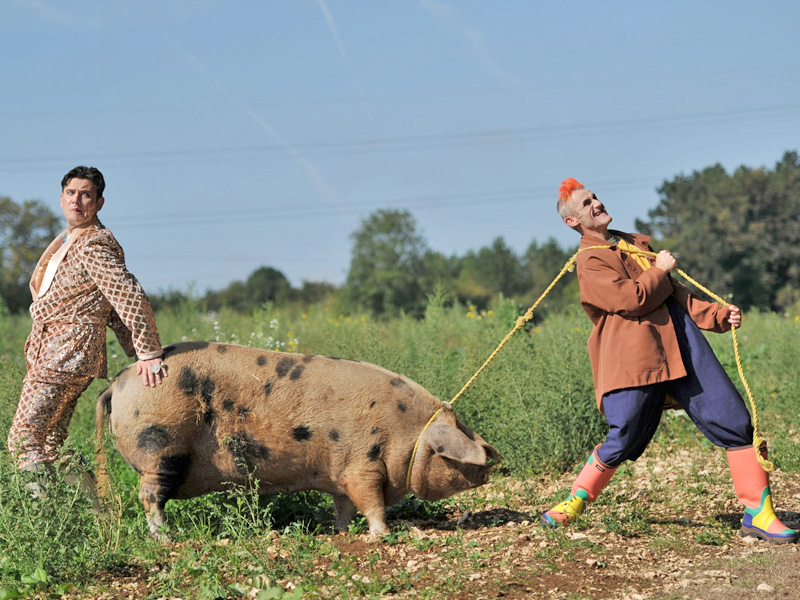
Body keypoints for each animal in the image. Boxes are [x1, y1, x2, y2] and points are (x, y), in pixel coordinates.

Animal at [95, 340, 500, 540]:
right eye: (453, 455)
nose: (491, 468)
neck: (404, 434)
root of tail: (117, 384)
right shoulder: (361, 467)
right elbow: (372, 503)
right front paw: (382, 536)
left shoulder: (339, 475)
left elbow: (344, 506)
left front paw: (340, 532)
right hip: (160, 448)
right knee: (149, 496)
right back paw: (167, 538)